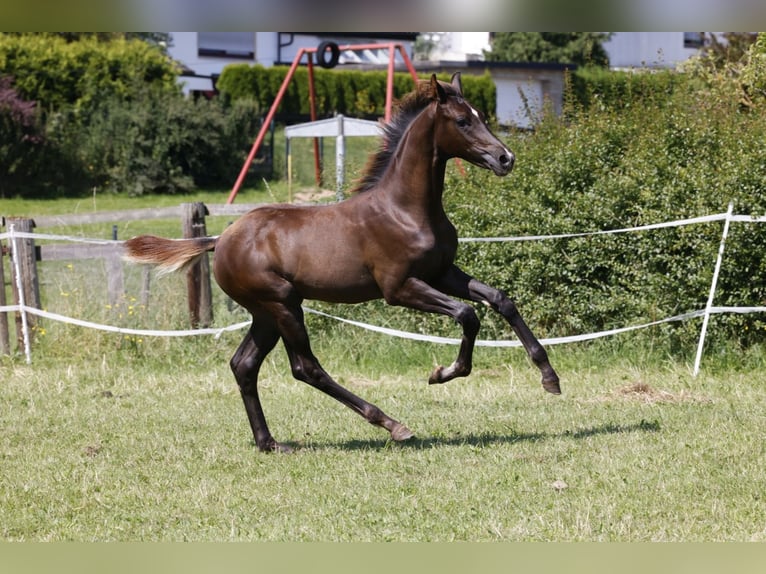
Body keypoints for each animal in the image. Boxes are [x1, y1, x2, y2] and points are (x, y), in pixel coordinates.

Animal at [123, 74, 560, 454]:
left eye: (481, 116)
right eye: (462, 120)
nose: (506, 158)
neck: (406, 209)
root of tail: (220, 239)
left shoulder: (441, 273)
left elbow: (500, 300)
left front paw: (549, 378)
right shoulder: (399, 288)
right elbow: (468, 314)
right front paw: (443, 373)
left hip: (266, 313)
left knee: (244, 365)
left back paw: (270, 443)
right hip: (282, 304)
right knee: (305, 367)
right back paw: (392, 424)